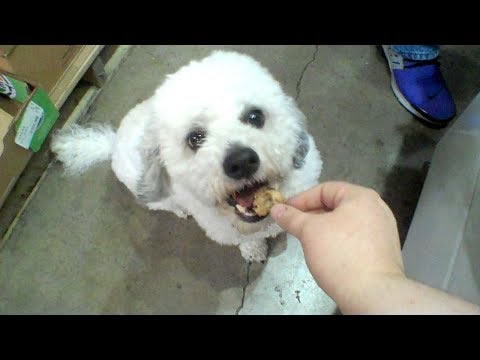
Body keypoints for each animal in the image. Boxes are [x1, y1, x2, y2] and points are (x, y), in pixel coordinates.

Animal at [51, 50, 322, 262]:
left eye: (255, 116)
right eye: (195, 138)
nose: (241, 162)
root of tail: (113, 141)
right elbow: (246, 241)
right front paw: (253, 249)